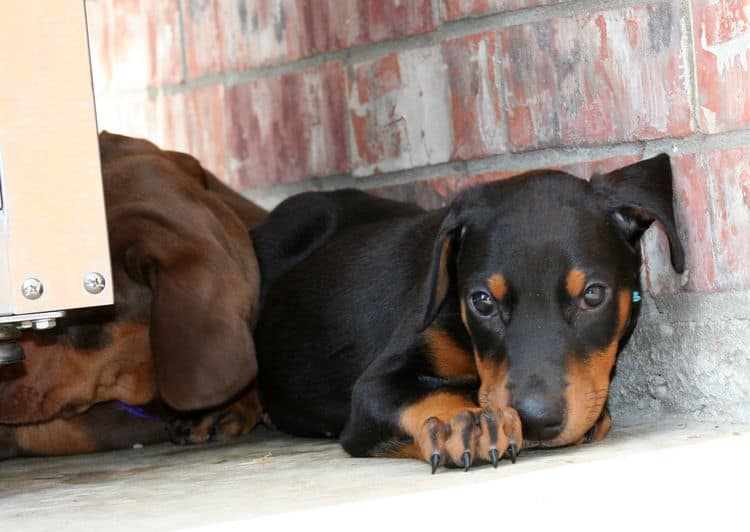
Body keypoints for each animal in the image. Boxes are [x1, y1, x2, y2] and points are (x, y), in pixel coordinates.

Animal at [253, 155, 688, 474]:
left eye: (593, 295)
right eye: (482, 301)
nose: (535, 420)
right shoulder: (372, 389)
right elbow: (435, 390)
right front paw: (467, 421)